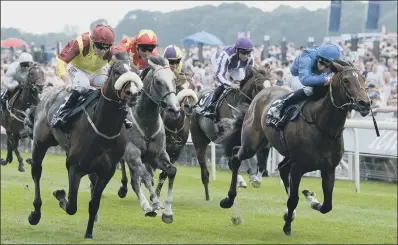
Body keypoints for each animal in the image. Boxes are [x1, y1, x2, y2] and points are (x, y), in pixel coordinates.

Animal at [25, 52, 143, 238]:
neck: (103, 127)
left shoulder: (106, 171)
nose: (133, 94)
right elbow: (71, 206)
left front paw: (89, 233)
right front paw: (60, 195)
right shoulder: (75, 166)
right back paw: (35, 214)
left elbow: (93, 203)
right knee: (36, 172)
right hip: (39, 143)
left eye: (137, 72)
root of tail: (48, 93)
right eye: (117, 71)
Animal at [189, 66, 270, 200]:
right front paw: (245, 179)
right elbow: (234, 159)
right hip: (198, 139)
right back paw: (208, 194)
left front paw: (255, 178)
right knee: (203, 165)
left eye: (271, 84)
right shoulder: (228, 137)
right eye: (258, 86)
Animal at [216, 59, 372, 235]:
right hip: (252, 143)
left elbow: (327, 206)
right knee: (236, 157)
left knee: (279, 167)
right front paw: (287, 225)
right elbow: (293, 199)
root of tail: (259, 95)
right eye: (346, 80)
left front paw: (310, 200)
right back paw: (229, 199)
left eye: (363, 79)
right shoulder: (298, 167)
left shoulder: (329, 168)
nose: (365, 103)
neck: (322, 125)